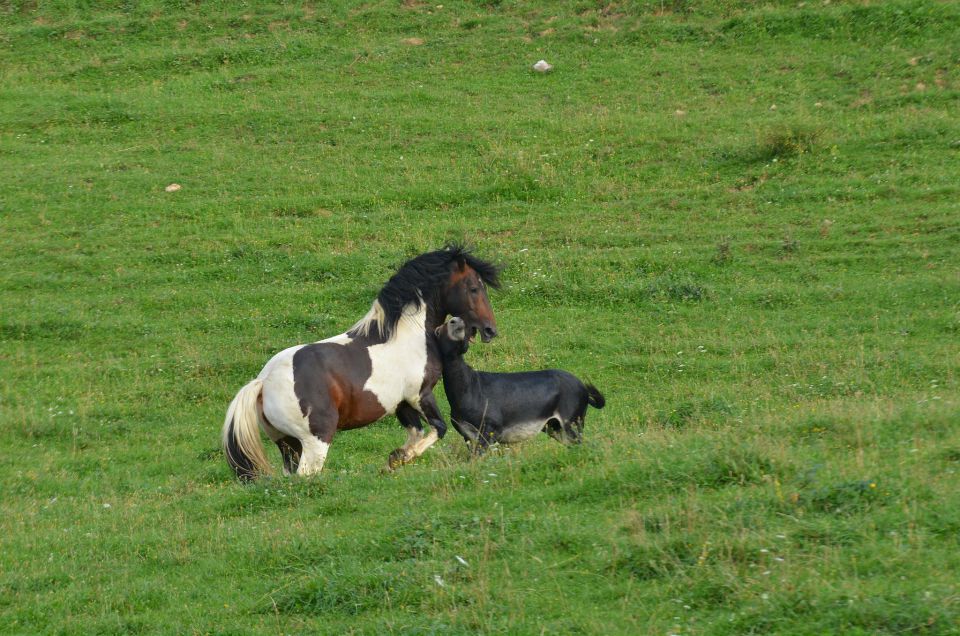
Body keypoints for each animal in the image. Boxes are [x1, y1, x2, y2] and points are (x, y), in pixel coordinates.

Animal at [220, 246, 498, 480]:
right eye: (474, 288)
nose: (490, 330)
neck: (406, 333)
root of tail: (263, 382)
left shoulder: (400, 404)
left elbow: (415, 433)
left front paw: (393, 460)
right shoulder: (420, 395)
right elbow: (438, 429)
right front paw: (402, 456)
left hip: (287, 443)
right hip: (315, 440)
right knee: (306, 475)